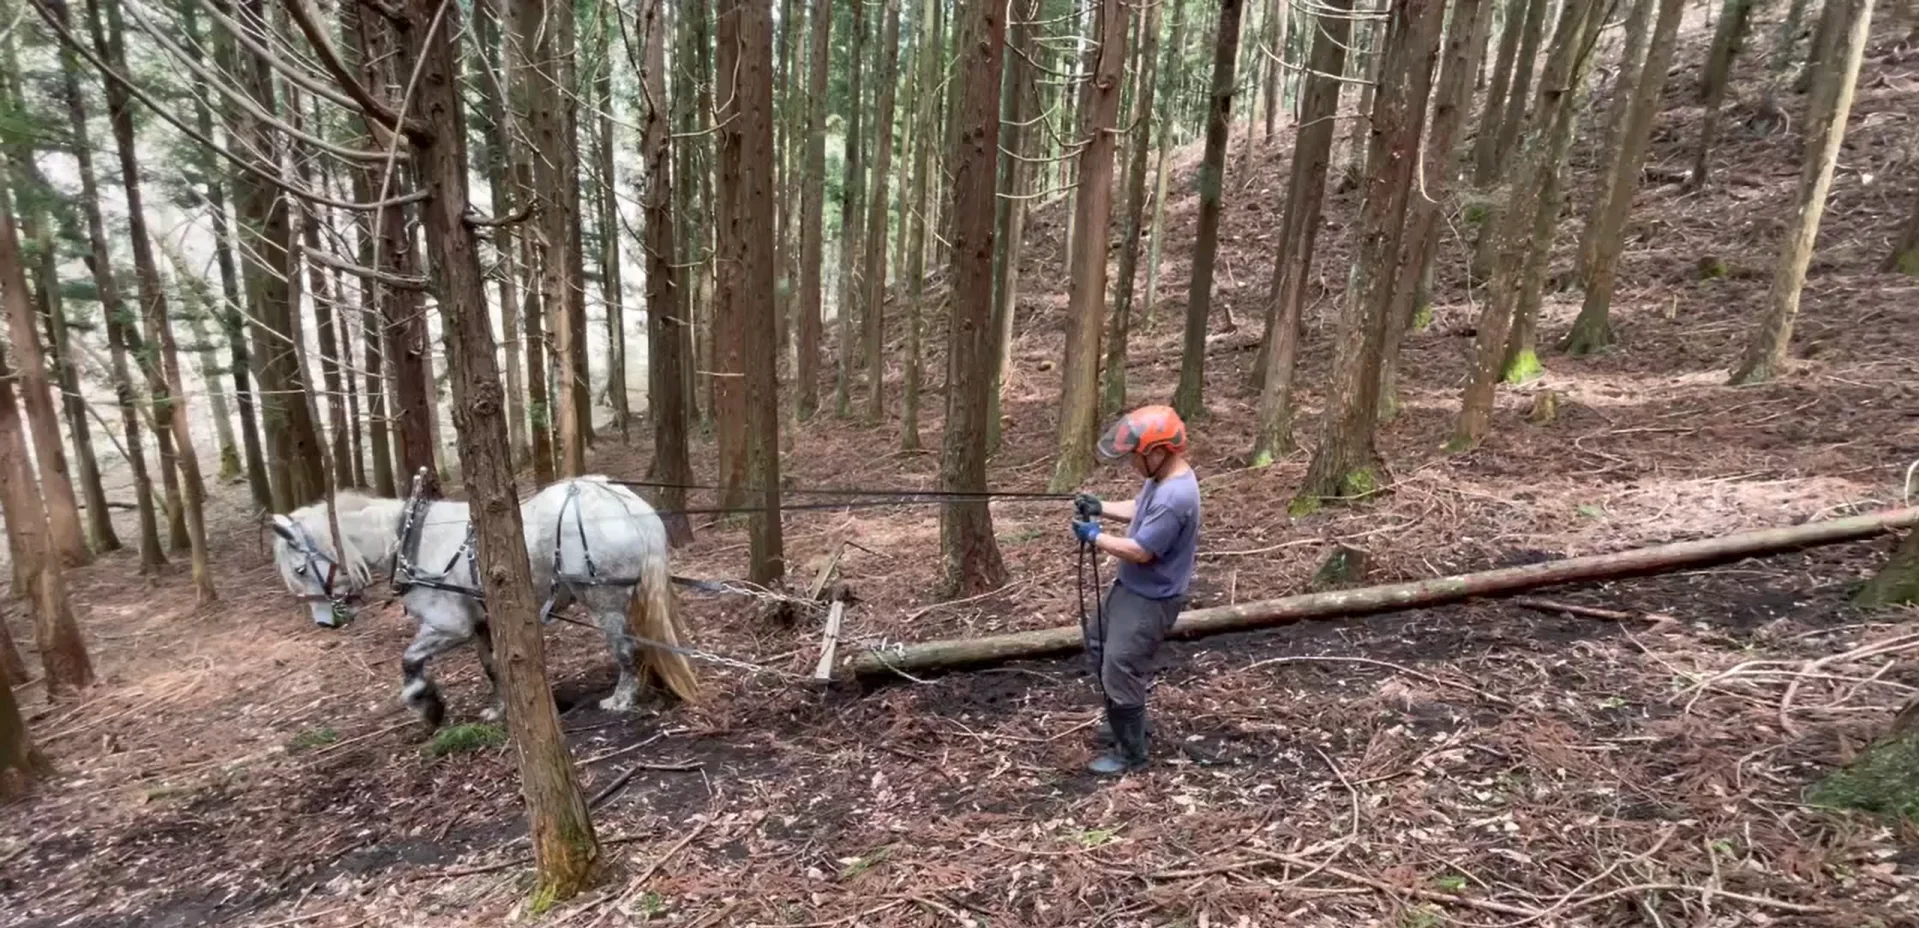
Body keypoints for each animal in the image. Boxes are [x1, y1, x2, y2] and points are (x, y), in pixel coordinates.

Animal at [267, 475, 700, 727]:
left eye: (301, 569)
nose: (324, 622)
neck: (410, 538)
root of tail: (625, 503)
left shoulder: (449, 626)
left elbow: (409, 659)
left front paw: (427, 704)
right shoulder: (480, 623)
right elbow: (493, 667)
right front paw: (501, 707)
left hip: (603, 598)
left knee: (624, 647)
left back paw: (622, 698)